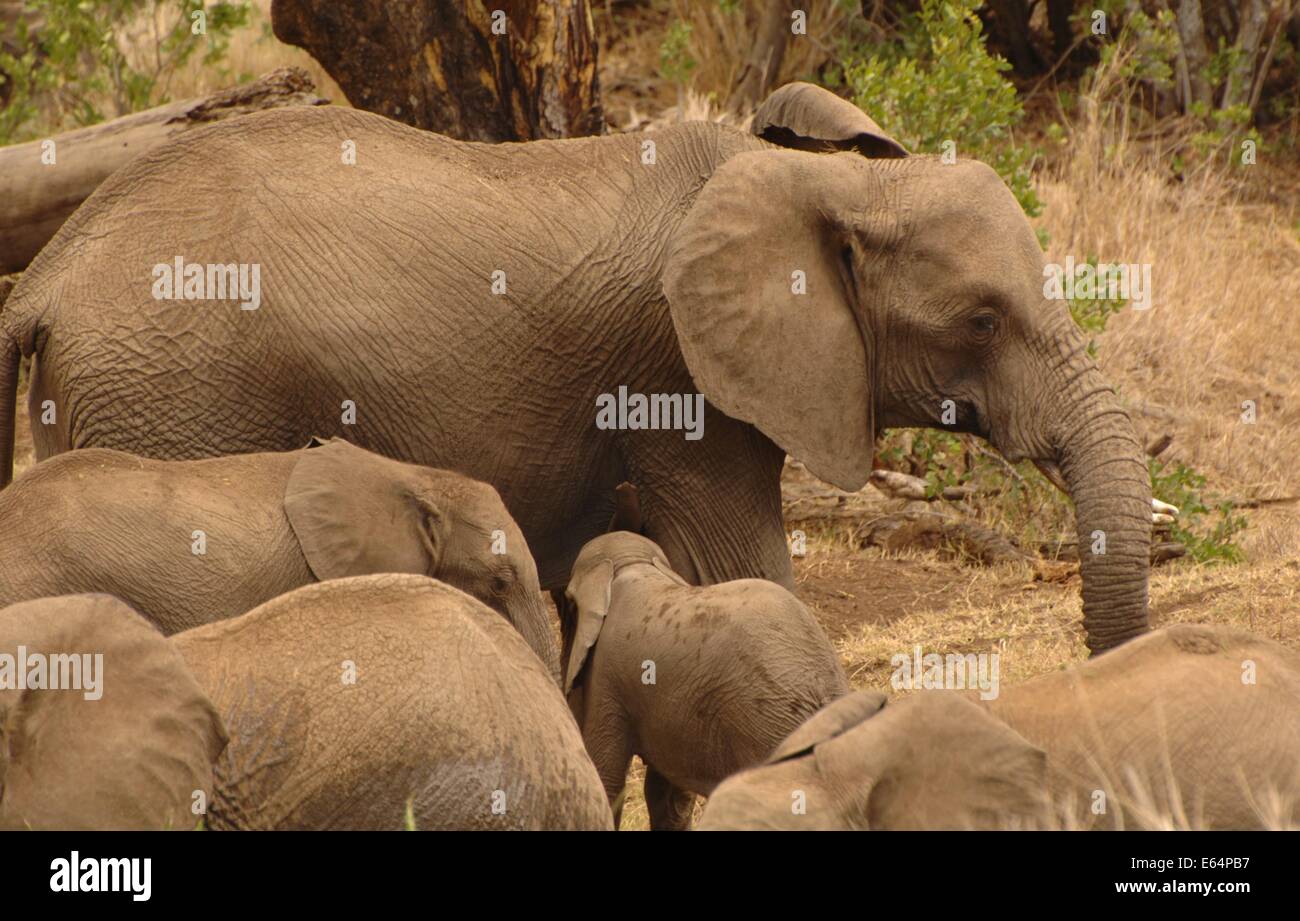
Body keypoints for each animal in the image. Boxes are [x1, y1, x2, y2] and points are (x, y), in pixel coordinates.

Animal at [2, 82, 1159, 650]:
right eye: (982, 321)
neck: (824, 182)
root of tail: (47, 276)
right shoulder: (679, 374)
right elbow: (740, 566)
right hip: (171, 394)